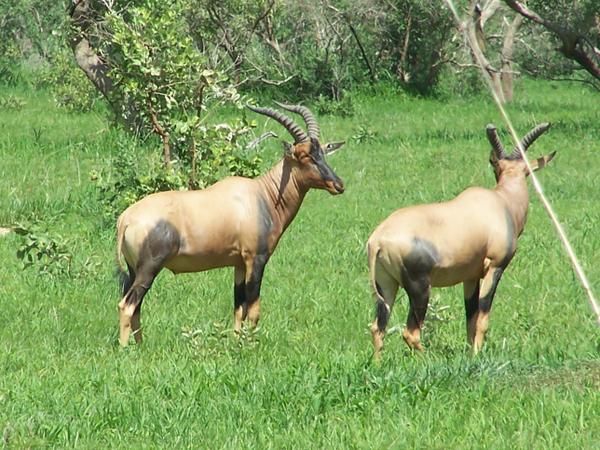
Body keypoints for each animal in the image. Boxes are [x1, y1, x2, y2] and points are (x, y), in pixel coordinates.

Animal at [116, 103, 346, 346]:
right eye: (304, 155)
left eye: (322, 152)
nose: (338, 185)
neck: (262, 195)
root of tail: (126, 219)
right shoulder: (256, 260)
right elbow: (254, 309)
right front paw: (250, 345)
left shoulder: (239, 264)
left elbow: (239, 307)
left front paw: (236, 343)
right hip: (149, 268)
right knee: (127, 305)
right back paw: (125, 348)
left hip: (134, 269)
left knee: (136, 306)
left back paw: (140, 345)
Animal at [368, 121, 556, 356]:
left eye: (497, 168)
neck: (501, 201)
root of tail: (378, 240)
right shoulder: (495, 267)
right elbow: (483, 317)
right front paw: (476, 354)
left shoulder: (470, 276)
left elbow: (471, 318)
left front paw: (469, 353)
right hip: (420, 287)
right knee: (410, 332)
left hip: (386, 285)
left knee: (378, 328)